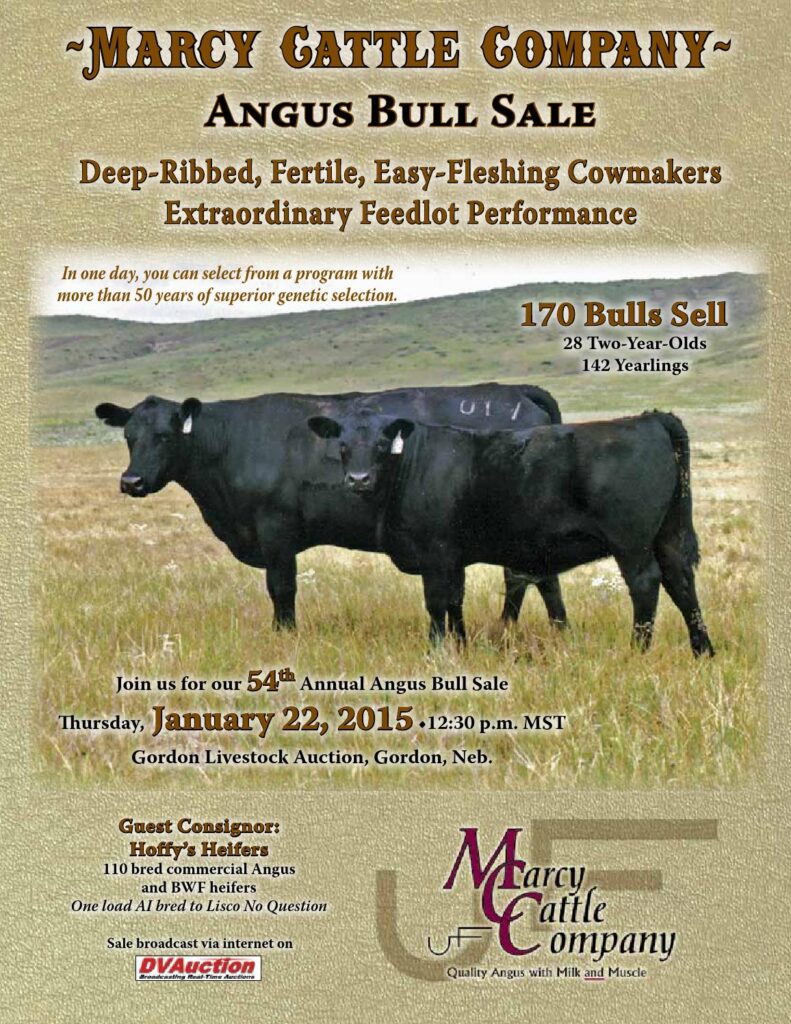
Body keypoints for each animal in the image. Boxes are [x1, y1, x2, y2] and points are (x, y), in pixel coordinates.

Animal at [94, 383, 566, 631]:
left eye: (165, 436)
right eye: (129, 436)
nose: (131, 482)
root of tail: (512, 392)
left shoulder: (276, 529)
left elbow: (281, 588)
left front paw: (284, 634)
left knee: (529, 577)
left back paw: (529, 628)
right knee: (527, 576)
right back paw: (527, 628)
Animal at [305, 409, 714, 655]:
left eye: (380, 443)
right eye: (343, 445)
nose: (358, 479)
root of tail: (649, 420)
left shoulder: (435, 552)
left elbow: (436, 604)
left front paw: (435, 651)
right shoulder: (453, 557)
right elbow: (455, 601)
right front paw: (460, 645)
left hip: (631, 541)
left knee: (646, 584)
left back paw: (637, 650)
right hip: (668, 534)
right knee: (681, 582)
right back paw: (702, 650)